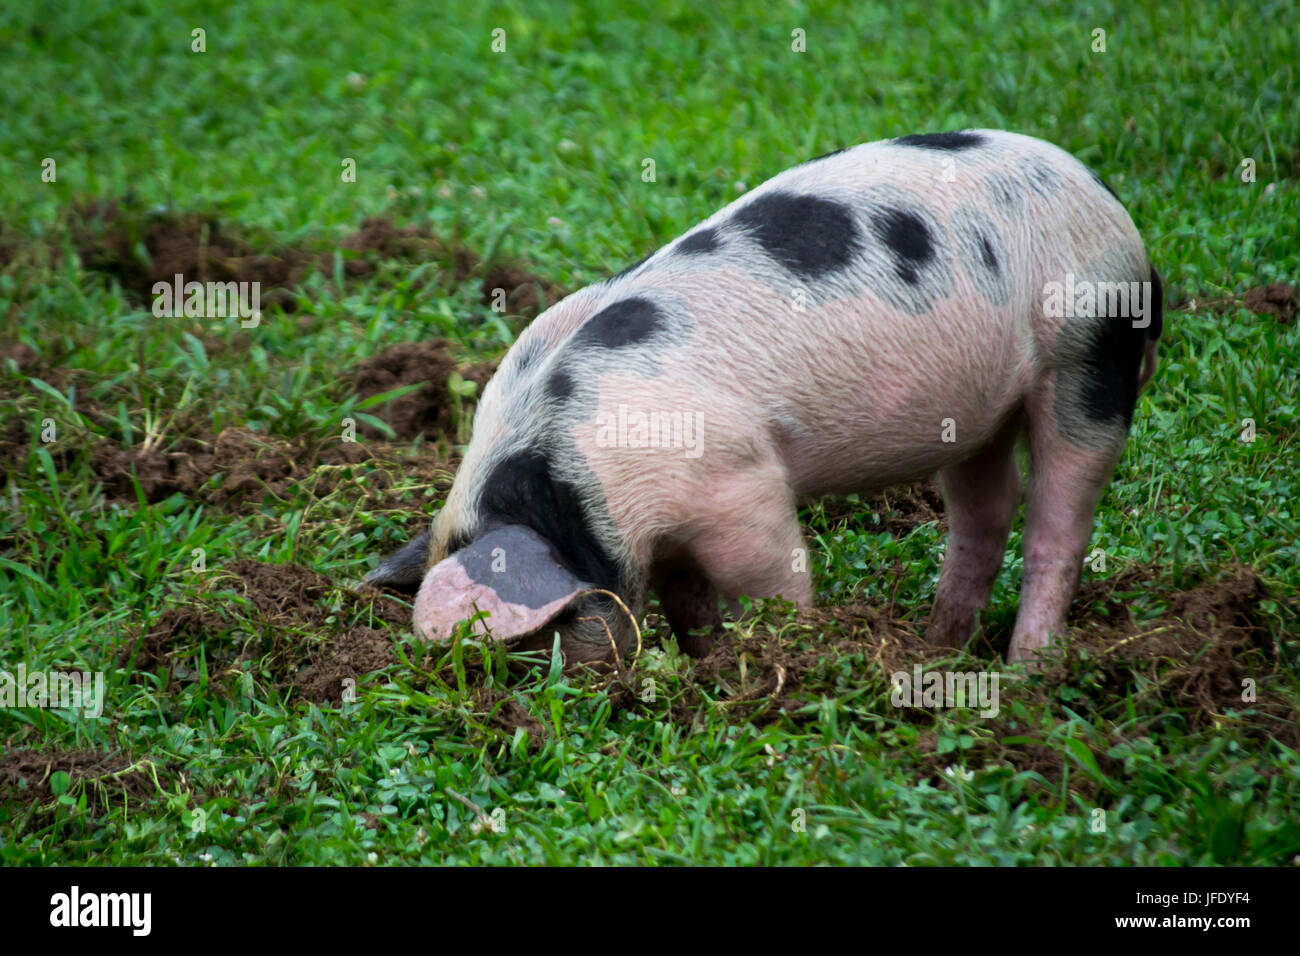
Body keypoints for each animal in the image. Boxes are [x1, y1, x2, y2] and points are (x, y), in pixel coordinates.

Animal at [366, 129, 1162, 665]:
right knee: (987, 508)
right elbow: (687, 600)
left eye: (534, 638)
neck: (563, 485)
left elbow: (770, 575)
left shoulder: (738, 485)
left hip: (1090, 345)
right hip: (980, 413)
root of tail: (1112, 205)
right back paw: (938, 649)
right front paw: (705, 663)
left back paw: (1026, 674)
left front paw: (784, 656)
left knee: (1059, 518)